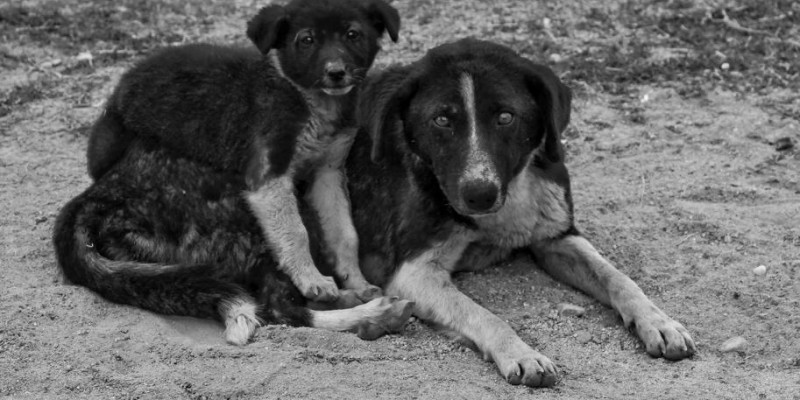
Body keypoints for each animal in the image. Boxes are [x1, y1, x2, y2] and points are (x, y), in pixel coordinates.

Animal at [83, 0, 400, 304]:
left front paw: (357, 282)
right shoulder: (268, 176)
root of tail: (119, 88)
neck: (310, 102)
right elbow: (296, 232)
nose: (336, 73)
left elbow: (345, 234)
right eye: (307, 40)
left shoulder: (328, 172)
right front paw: (311, 279)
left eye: (353, 34)